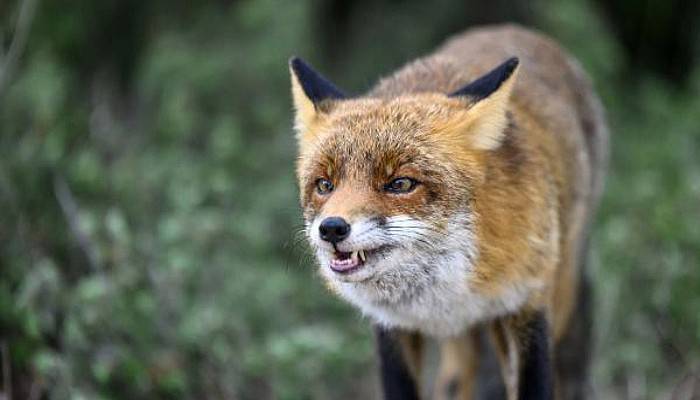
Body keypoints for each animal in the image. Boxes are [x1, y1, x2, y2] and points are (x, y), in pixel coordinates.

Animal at [290, 25, 608, 400]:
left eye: (400, 184)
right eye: (325, 185)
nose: (332, 229)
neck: (446, 294)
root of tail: (511, 28)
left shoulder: (527, 305)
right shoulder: (392, 327)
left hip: (561, 289)